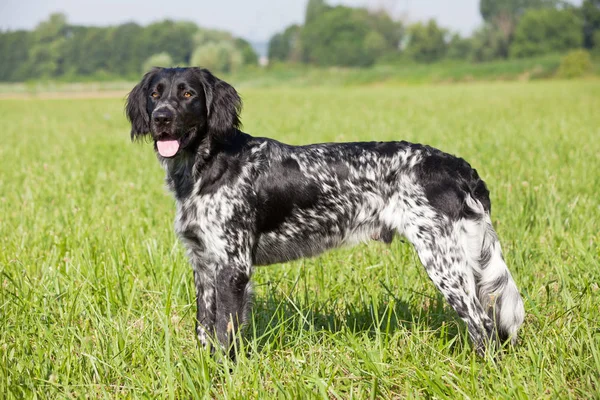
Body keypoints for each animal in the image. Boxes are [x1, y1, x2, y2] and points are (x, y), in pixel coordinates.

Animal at [126, 67, 524, 358]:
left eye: (188, 94)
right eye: (155, 93)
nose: (161, 118)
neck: (208, 164)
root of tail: (459, 167)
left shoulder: (232, 266)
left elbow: (225, 334)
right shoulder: (204, 263)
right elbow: (205, 328)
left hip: (443, 260)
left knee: (484, 326)